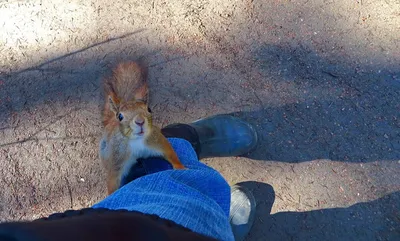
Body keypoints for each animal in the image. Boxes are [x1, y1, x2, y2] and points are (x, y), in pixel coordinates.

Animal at [101, 61, 187, 195]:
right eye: (120, 116)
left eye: (149, 109)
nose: (140, 121)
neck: (137, 141)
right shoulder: (117, 157)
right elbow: (113, 179)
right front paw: (113, 194)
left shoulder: (156, 140)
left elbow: (170, 152)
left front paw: (180, 167)